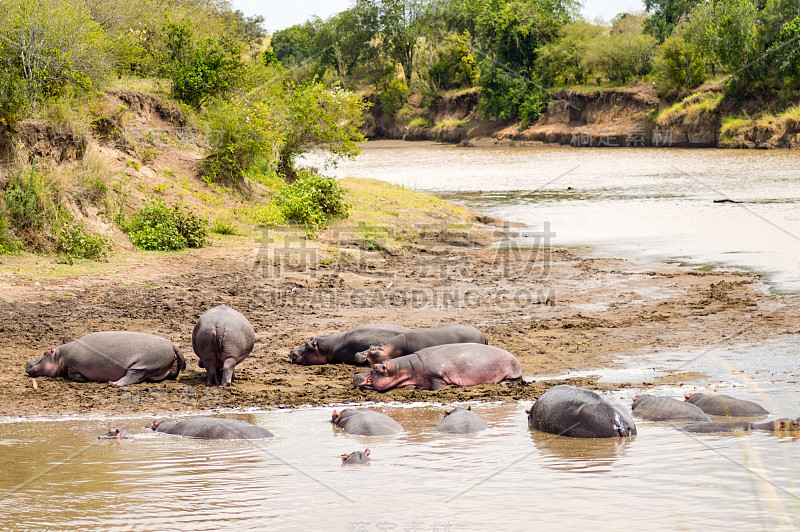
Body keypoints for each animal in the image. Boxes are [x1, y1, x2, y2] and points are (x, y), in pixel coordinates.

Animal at [25, 330, 185, 384]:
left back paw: (114, 384)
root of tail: (172, 344)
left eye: (44, 352)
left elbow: (72, 374)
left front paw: (82, 379)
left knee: (134, 375)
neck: (60, 356)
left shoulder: (72, 365)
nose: (28, 362)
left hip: (144, 364)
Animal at [354, 342, 520, 392]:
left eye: (375, 368)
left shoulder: (436, 375)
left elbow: (437, 385)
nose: (355, 376)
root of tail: (514, 356)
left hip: (512, 371)